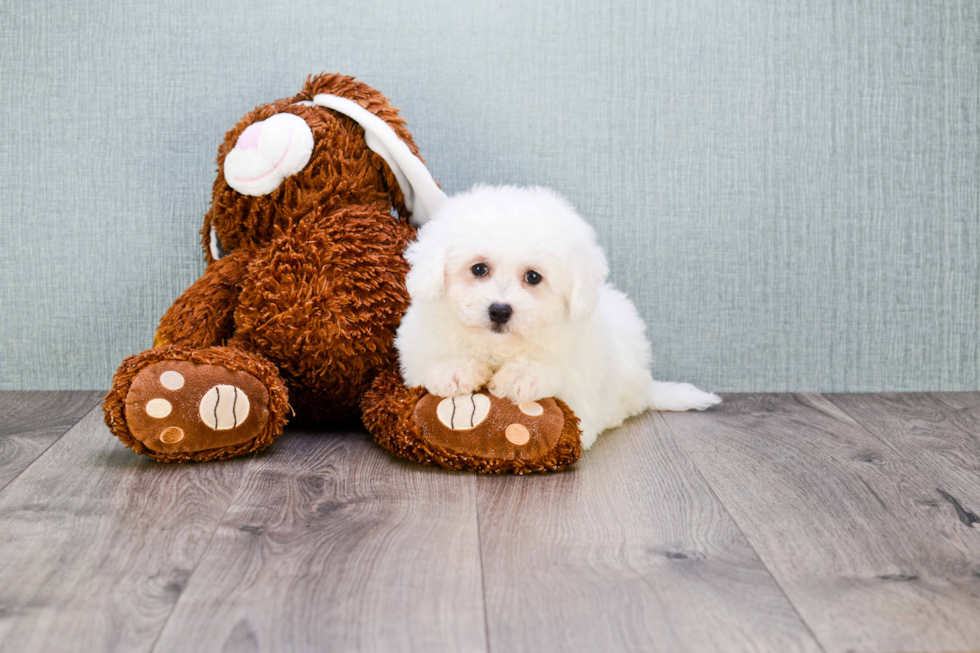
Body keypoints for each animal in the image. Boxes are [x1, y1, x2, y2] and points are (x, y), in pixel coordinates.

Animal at [394, 185, 724, 448]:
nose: (500, 310)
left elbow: (556, 377)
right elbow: (434, 360)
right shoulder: (417, 347)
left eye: (533, 277)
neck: (499, 349)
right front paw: (455, 370)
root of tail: (646, 385)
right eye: (479, 269)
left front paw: (523, 376)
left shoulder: (580, 382)